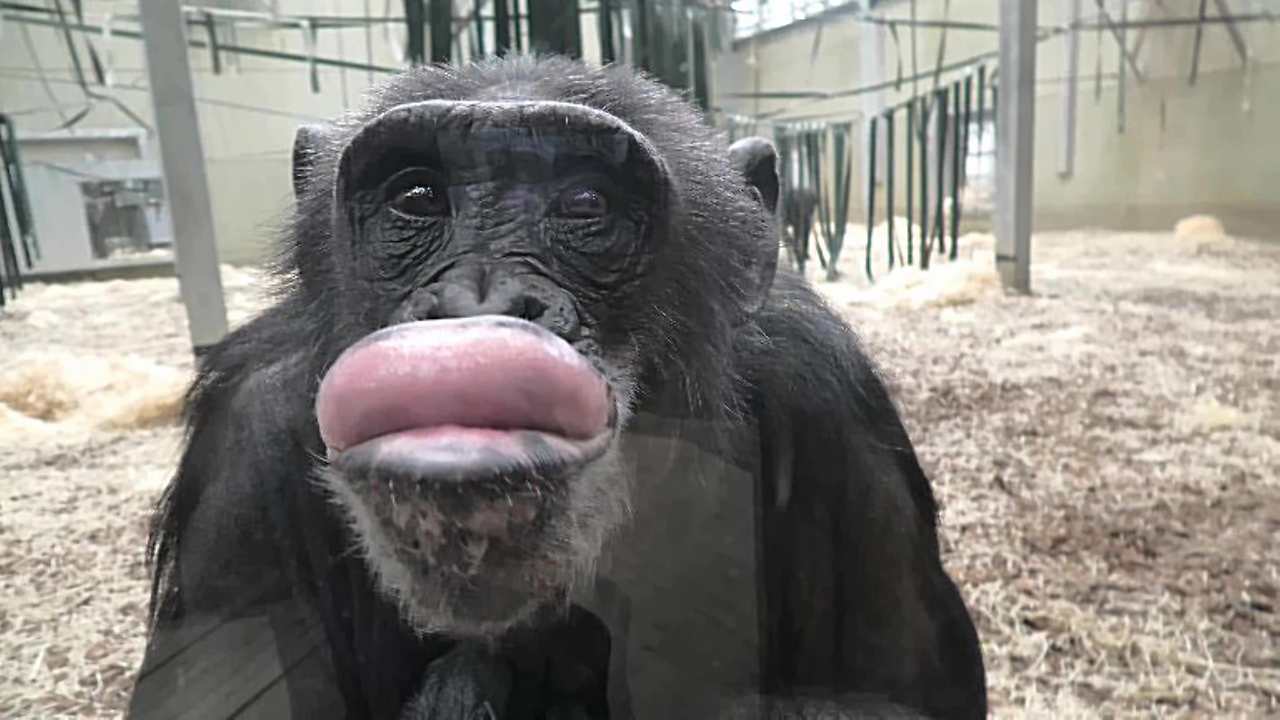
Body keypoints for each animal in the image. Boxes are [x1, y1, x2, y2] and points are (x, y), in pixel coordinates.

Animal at [129, 57, 983, 717]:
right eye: (416, 198)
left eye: (585, 204)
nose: (478, 299)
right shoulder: (243, 465)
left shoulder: (832, 404)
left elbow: (905, 697)